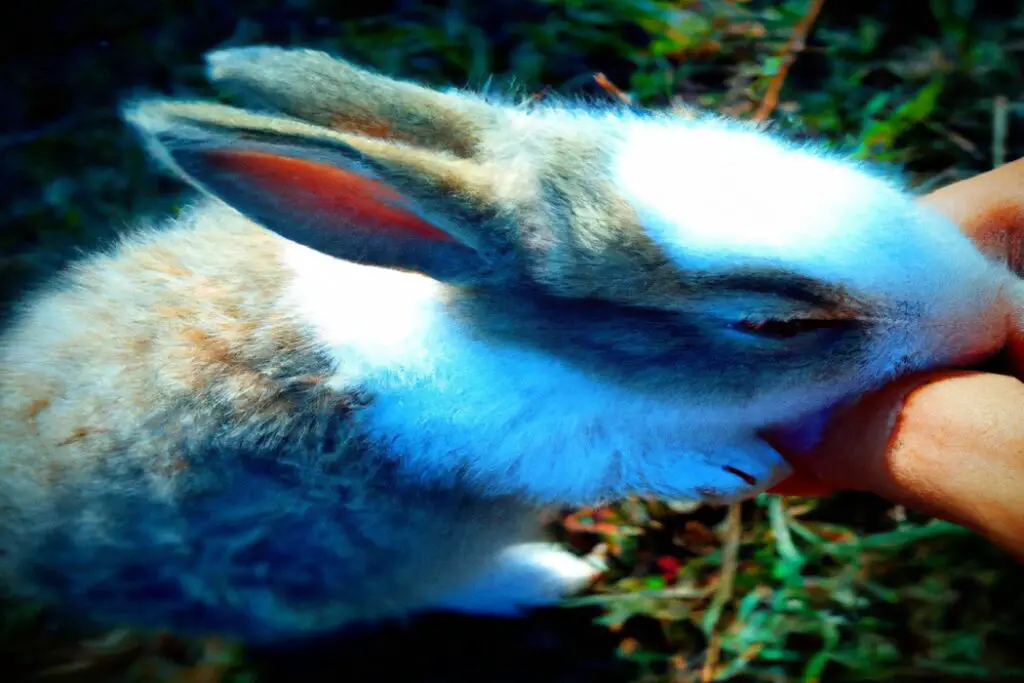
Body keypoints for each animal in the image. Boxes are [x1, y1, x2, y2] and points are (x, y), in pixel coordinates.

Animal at [0, 45, 1020, 644]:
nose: (994, 307)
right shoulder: (531, 438)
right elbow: (619, 452)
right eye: (773, 326)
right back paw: (543, 576)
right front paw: (728, 468)